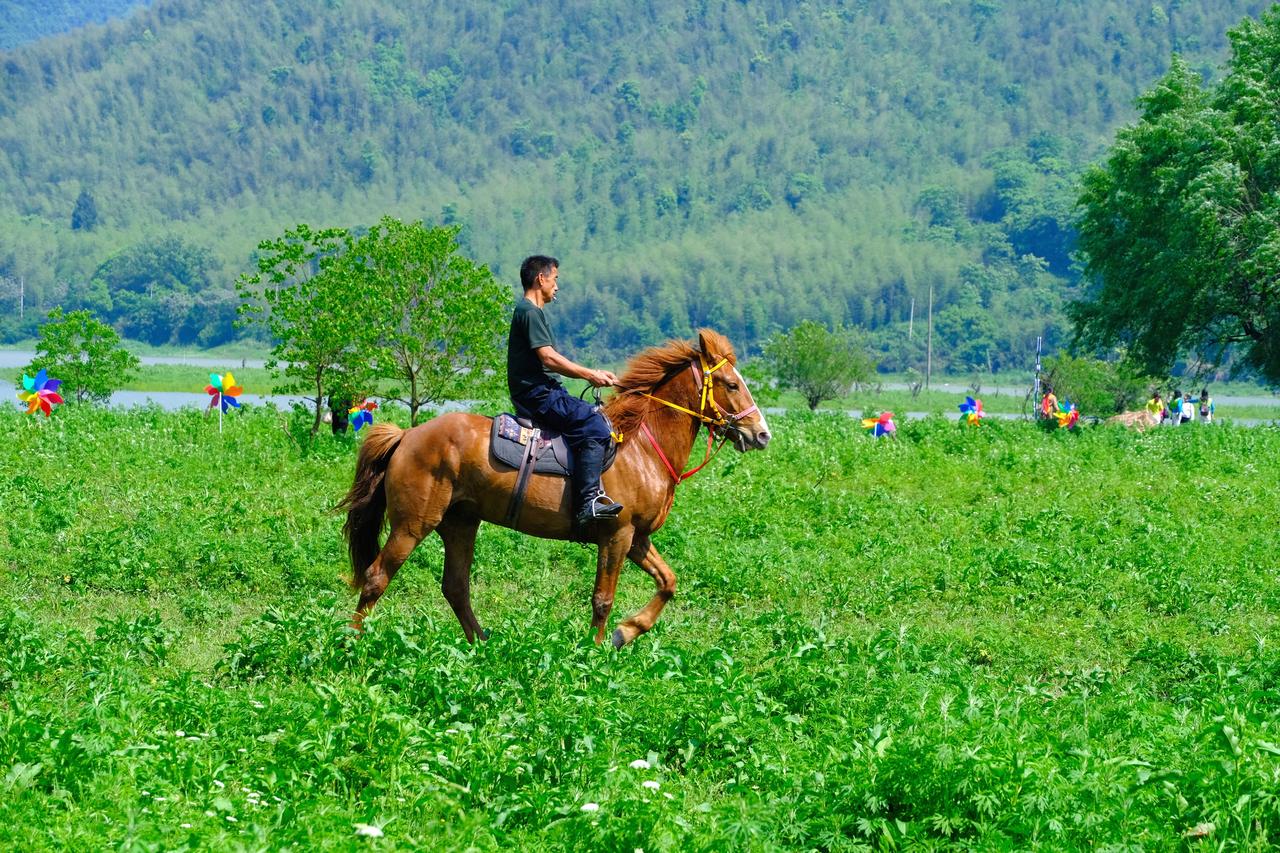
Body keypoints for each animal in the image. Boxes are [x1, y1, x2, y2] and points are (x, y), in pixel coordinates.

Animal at [339, 329, 772, 648]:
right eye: (731, 385)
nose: (762, 434)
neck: (643, 446)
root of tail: (407, 435)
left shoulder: (637, 539)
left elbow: (668, 583)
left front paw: (625, 632)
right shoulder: (617, 535)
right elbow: (602, 599)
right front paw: (596, 651)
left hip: (460, 523)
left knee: (456, 587)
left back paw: (484, 646)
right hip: (413, 524)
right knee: (377, 577)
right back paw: (351, 643)